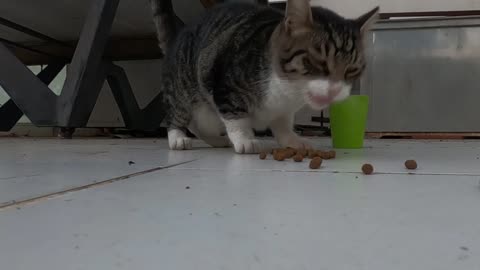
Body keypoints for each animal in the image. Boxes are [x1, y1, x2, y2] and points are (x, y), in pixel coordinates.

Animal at [148, 0, 376, 153]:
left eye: (352, 70)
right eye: (318, 62)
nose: (335, 89)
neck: (286, 92)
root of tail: (177, 37)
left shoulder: (284, 110)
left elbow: (283, 125)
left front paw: (292, 140)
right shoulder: (224, 82)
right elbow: (236, 117)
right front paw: (245, 139)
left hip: (205, 116)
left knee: (197, 126)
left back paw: (217, 141)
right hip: (183, 88)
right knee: (177, 114)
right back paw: (178, 138)